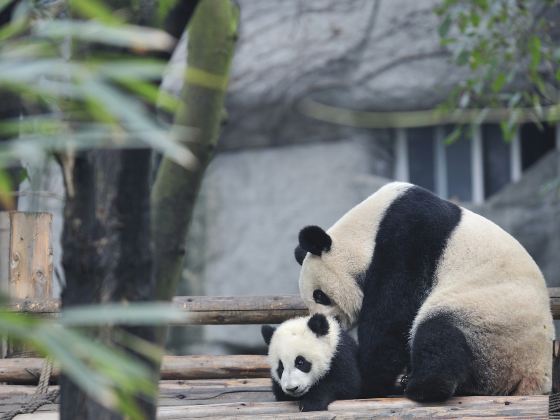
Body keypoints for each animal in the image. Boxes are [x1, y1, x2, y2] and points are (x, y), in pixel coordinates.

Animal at [296, 182, 552, 402]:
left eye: (320, 295)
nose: (323, 322)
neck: (369, 227)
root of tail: (534, 376)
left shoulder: (408, 239)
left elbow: (392, 315)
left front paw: (368, 380)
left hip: (492, 322)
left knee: (438, 332)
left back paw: (421, 387)